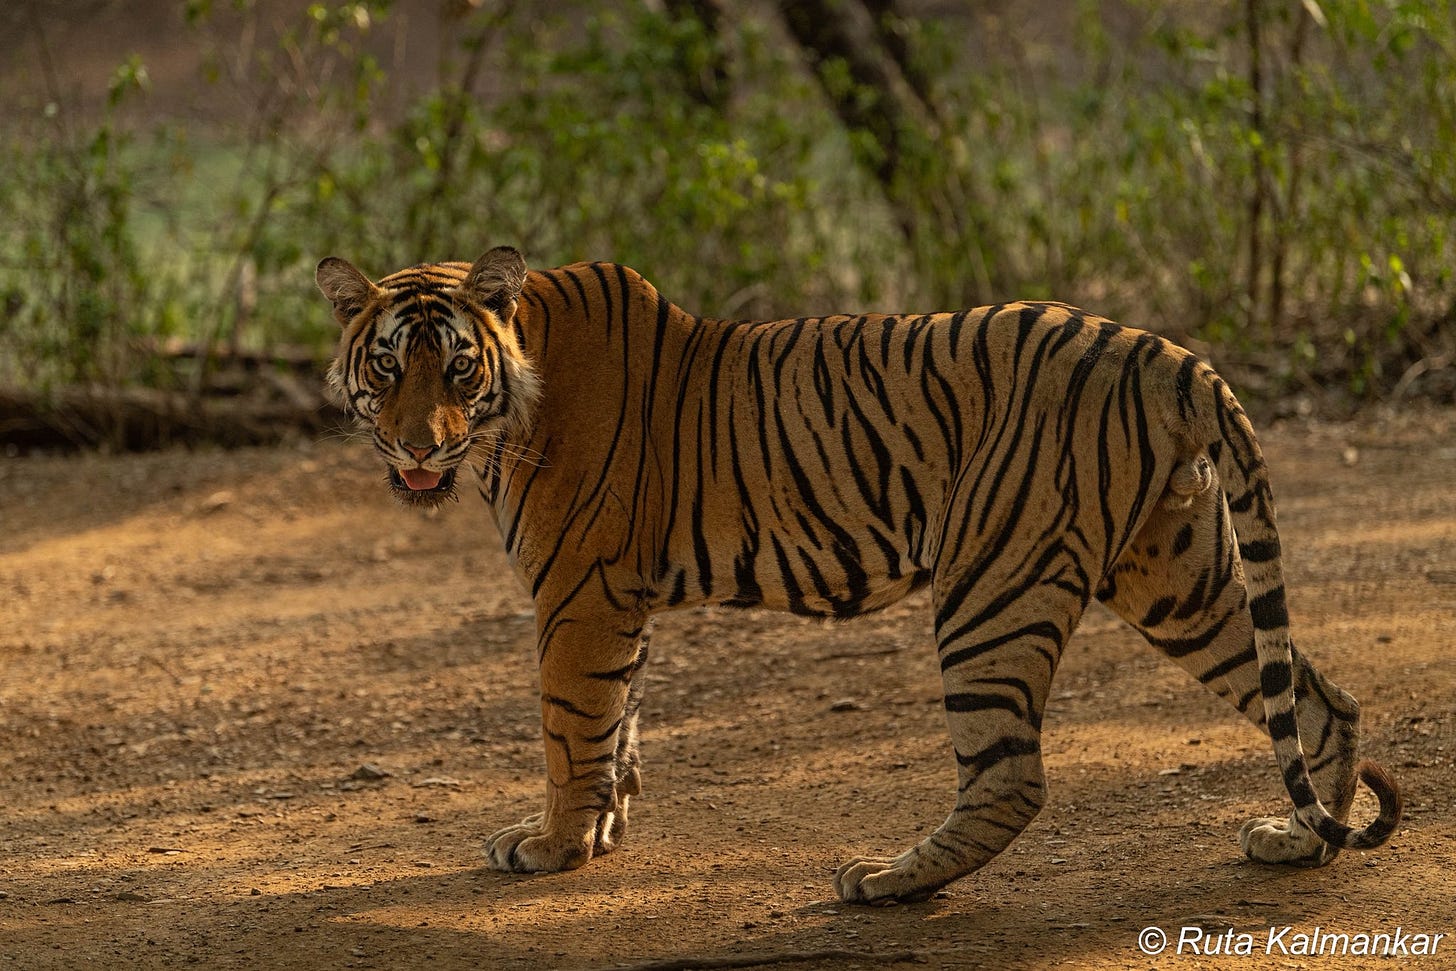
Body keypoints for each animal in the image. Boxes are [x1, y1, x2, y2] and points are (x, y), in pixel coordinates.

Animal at [314, 246, 1401, 905]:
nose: (418, 446)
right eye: (388, 367)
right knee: (1316, 695)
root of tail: (1164, 351)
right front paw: (606, 827)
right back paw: (1301, 837)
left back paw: (888, 879)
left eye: (456, 368)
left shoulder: (579, 591)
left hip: (990, 582)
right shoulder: (622, 601)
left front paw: (552, 845)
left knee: (1010, 775)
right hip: (1177, 575)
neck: (514, 399)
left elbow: (570, 725)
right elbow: (622, 719)